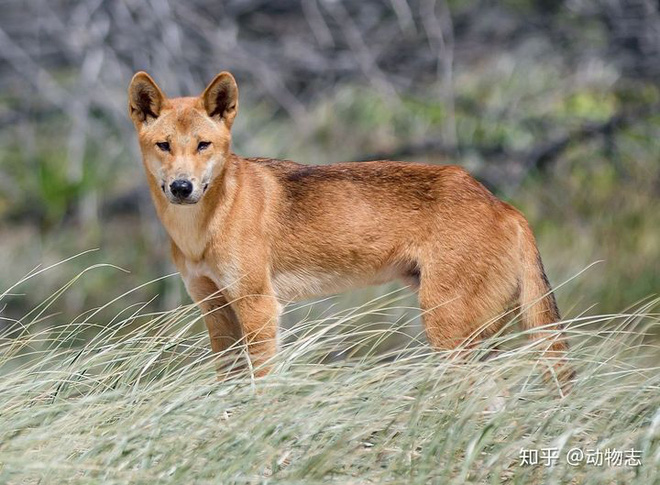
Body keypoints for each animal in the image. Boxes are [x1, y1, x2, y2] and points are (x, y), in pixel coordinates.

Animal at [130, 72, 572, 380]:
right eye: (164, 146)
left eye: (202, 145)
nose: (182, 187)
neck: (201, 230)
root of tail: (506, 206)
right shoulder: (215, 309)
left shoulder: (259, 306)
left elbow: (261, 385)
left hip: (447, 327)